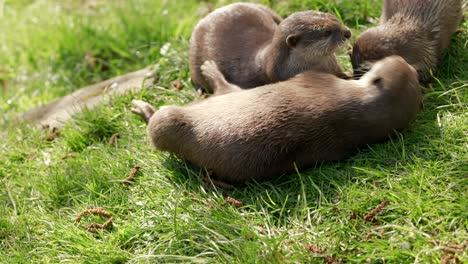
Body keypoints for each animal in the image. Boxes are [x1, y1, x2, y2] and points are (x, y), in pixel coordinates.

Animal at [131, 55, 420, 184]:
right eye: (395, 59)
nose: (397, 55)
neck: (358, 107)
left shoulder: (314, 78)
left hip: (170, 122)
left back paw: (144, 107)